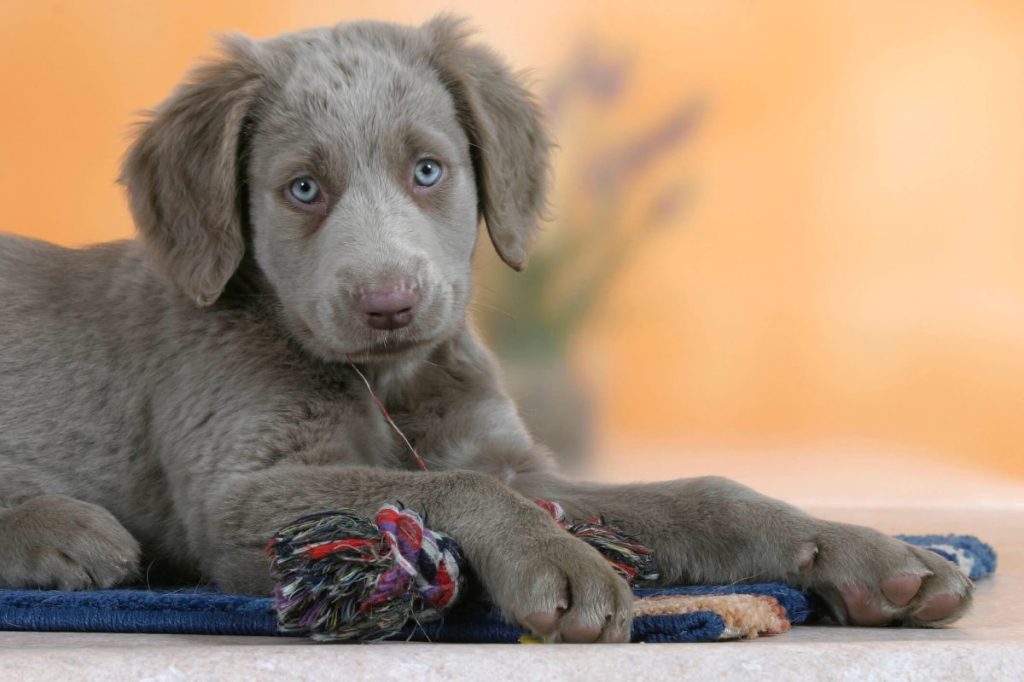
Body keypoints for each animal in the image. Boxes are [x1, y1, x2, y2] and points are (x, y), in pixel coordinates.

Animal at [0, 17, 970, 643]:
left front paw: (872, 555)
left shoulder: (512, 459)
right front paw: (555, 561)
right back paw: (65, 535)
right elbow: (437, 491)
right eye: (304, 189)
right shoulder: (235, 495)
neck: (386, 380)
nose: (390, 302)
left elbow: (701, 496)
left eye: (429, 170)